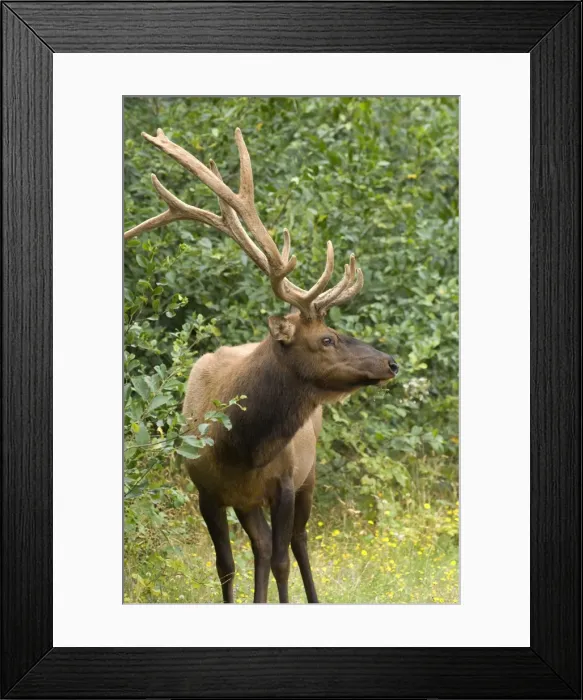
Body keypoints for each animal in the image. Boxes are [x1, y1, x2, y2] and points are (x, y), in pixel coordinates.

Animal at [124, 127, 399, 604]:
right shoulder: (207, 491)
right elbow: (227, 566)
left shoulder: (286, 481)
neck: (241, 445)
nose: (390, 362)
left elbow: (283, 560)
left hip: (309, 475)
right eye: (327, 338)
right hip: (249, 501)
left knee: (296, 543)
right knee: (263, 546)